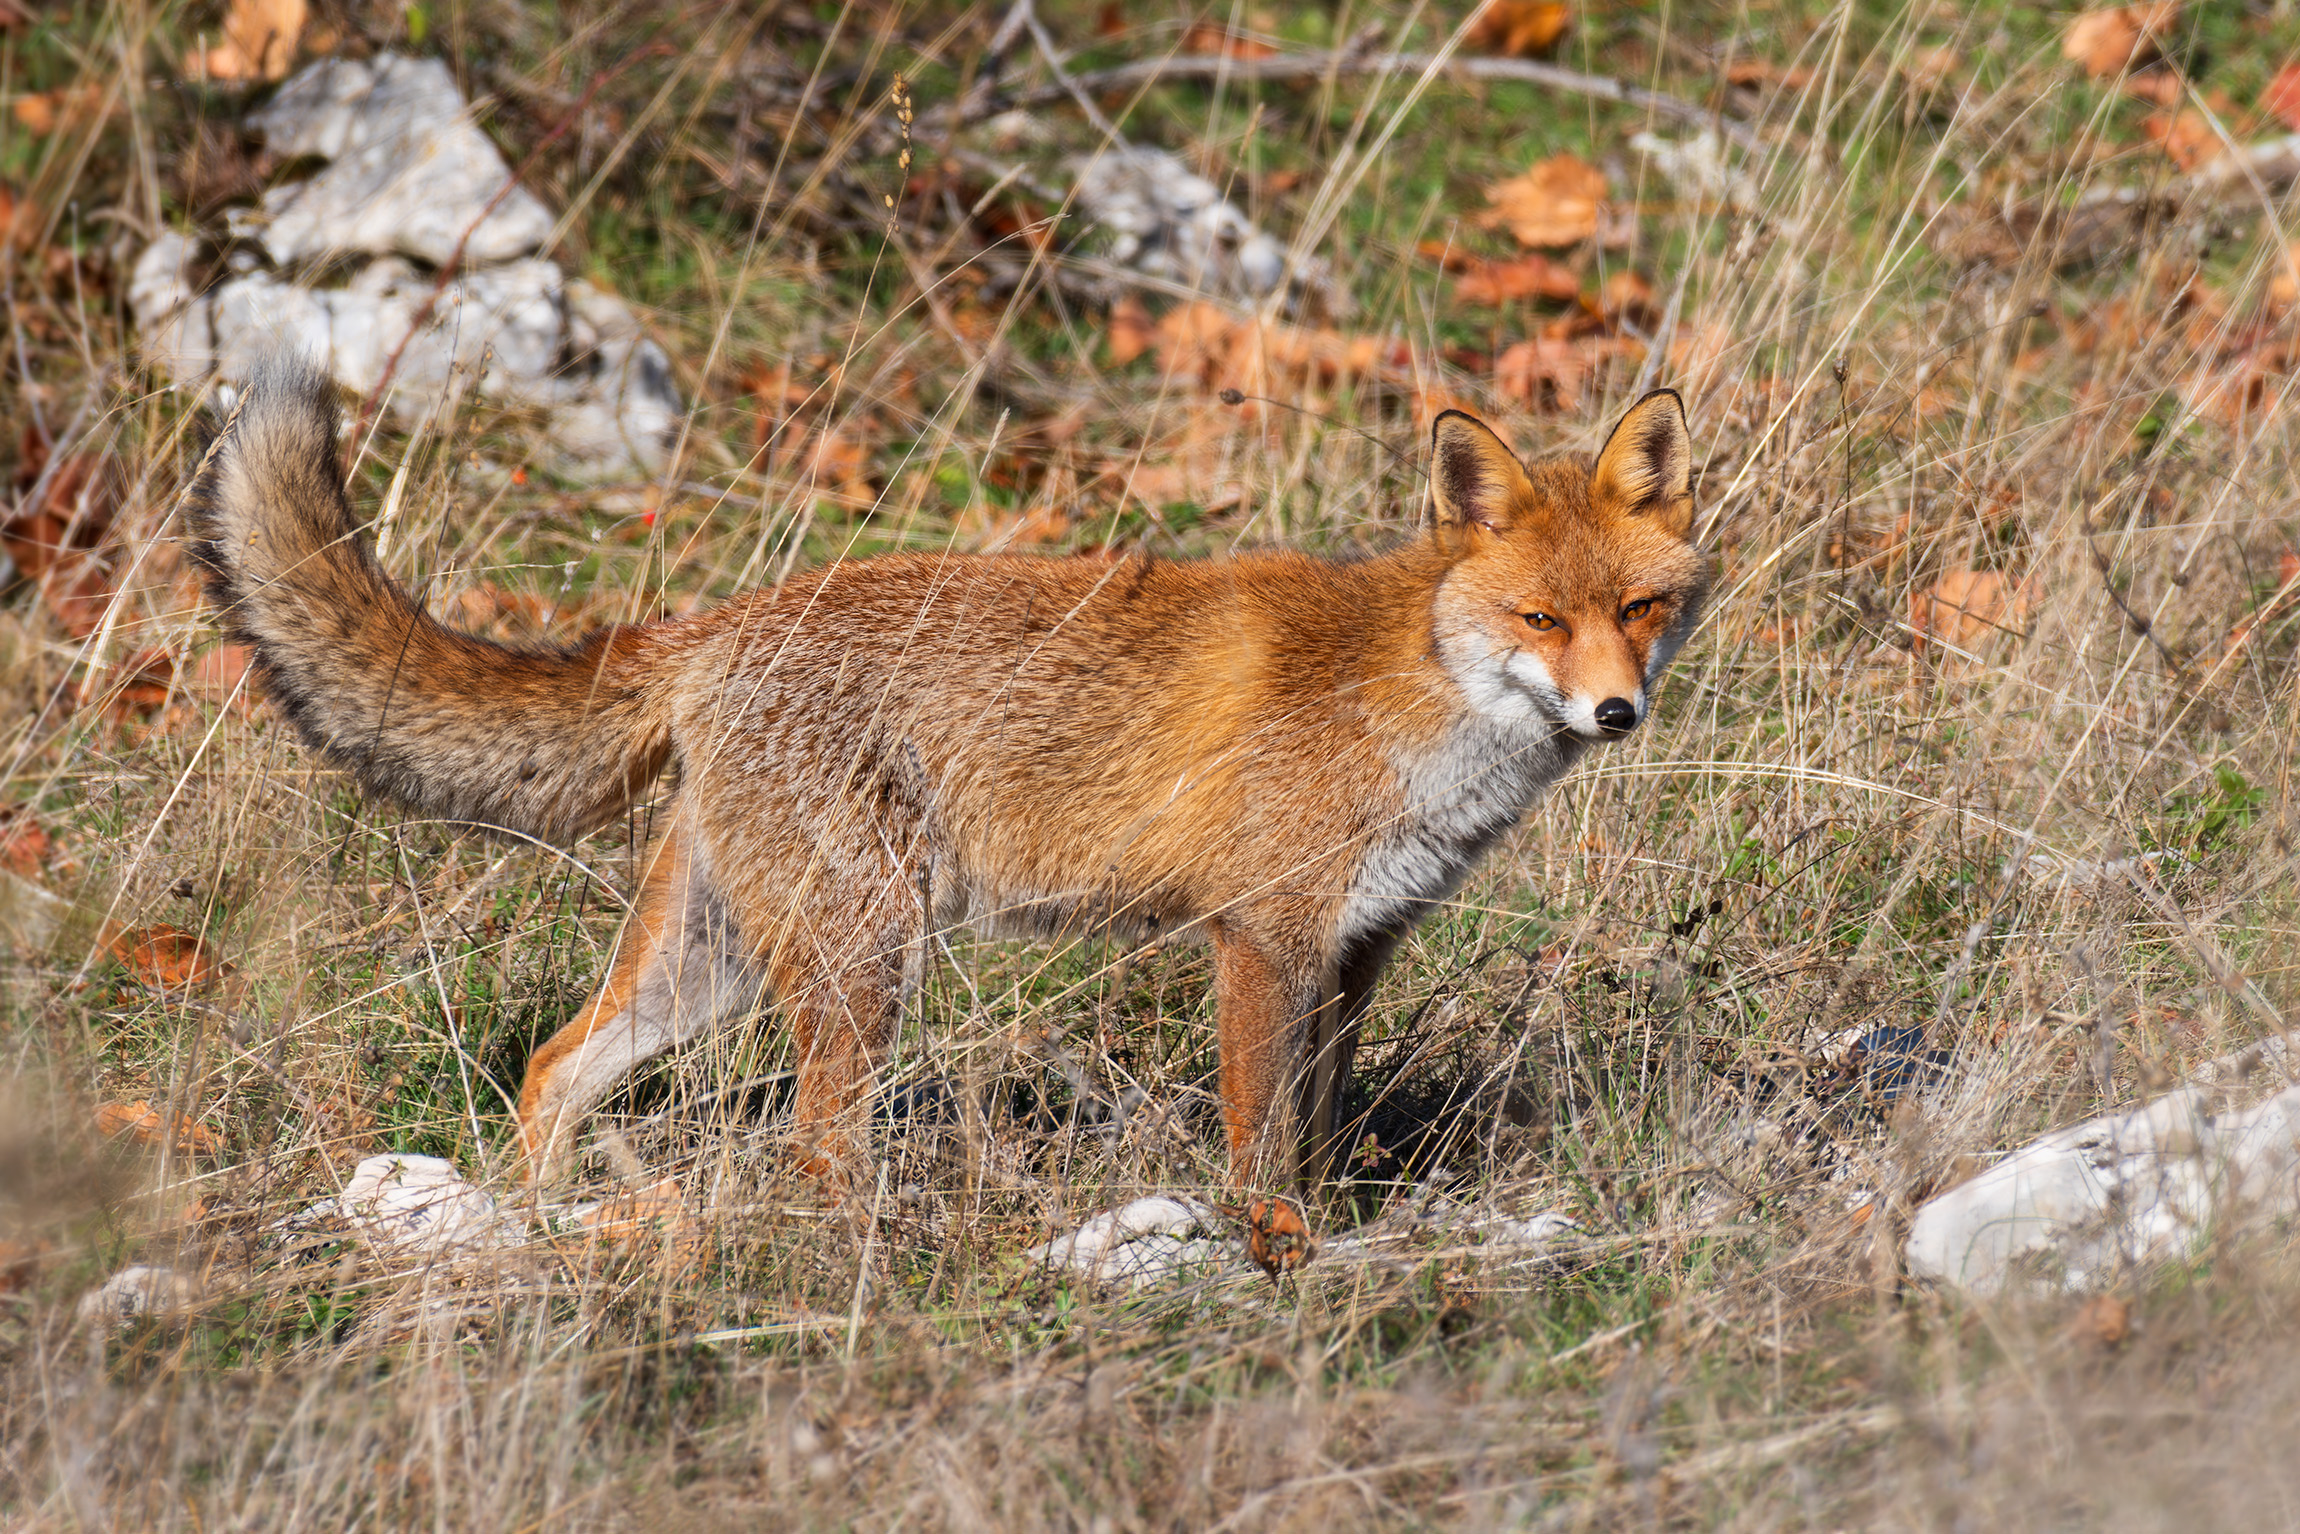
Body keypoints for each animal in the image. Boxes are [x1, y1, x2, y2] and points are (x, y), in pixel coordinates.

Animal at [183, 357, 1708, 1193]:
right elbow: (1257, 1145)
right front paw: (1267, 1259)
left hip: (712, 964)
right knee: (812, 1144)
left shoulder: (1354, 953)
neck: (1415, 699)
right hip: (861, 958)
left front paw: (1325, 1242)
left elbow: (1319, 1136)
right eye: (1538, 619)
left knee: (555, 1069)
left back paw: (535, 1236)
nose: (1616, 712)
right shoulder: (1260, 940)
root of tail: (715, 624)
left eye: (1639, 607)